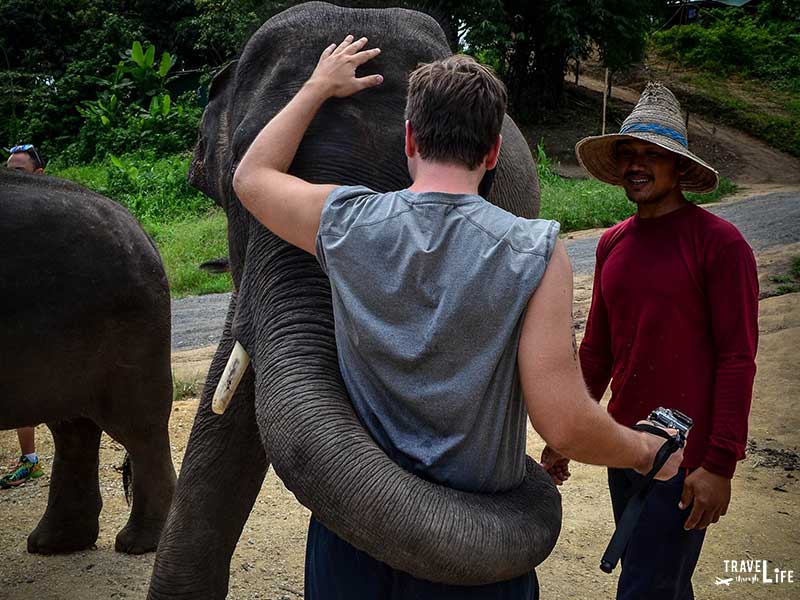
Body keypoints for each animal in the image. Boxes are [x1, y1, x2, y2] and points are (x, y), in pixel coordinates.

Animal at [0, 168, 176, 552]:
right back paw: (52, 544)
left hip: (128, 331)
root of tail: (139, 228)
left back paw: (138, 544)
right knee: (73, 428)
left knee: (137, 429)